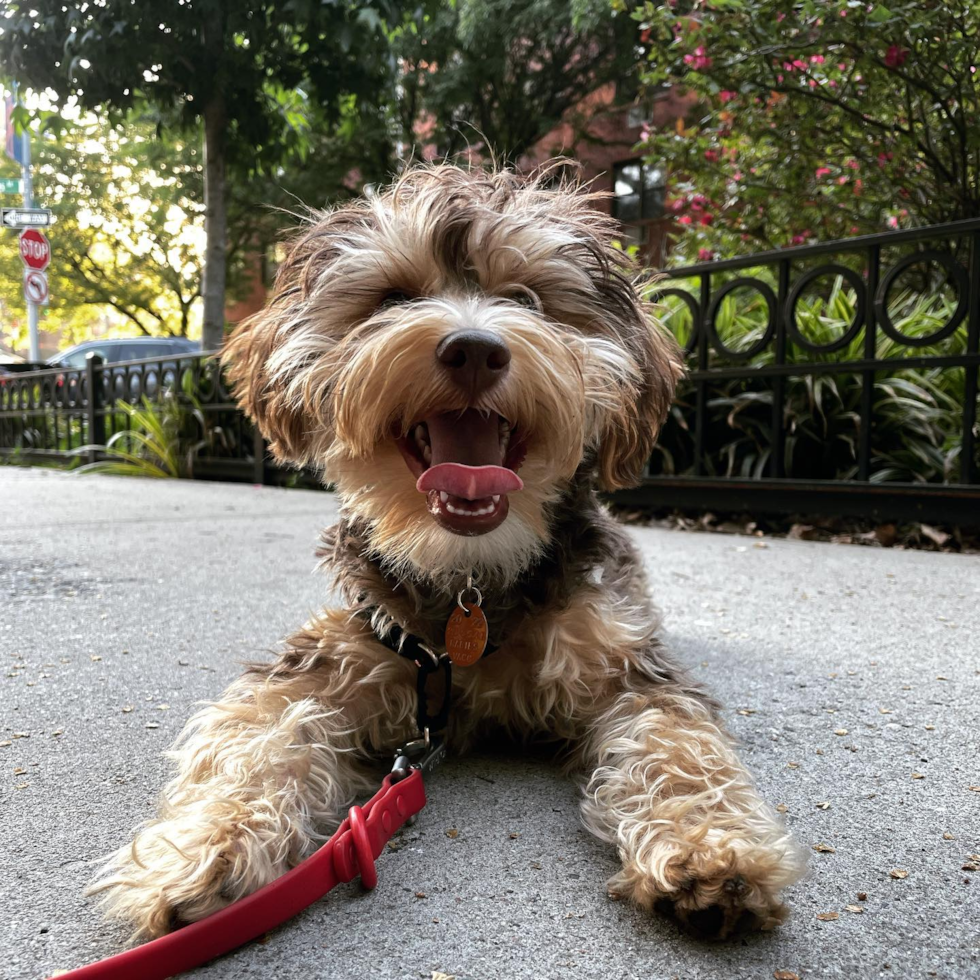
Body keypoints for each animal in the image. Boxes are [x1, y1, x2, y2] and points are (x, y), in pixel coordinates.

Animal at [88, 163, 804, 940]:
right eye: (395, 298)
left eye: (526, 299)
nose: (474, 349)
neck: (471, 582)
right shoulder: (330, 657)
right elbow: (255, 739)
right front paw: (206, 844)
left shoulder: (627, 669)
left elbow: (678, 746)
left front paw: (711, 847)